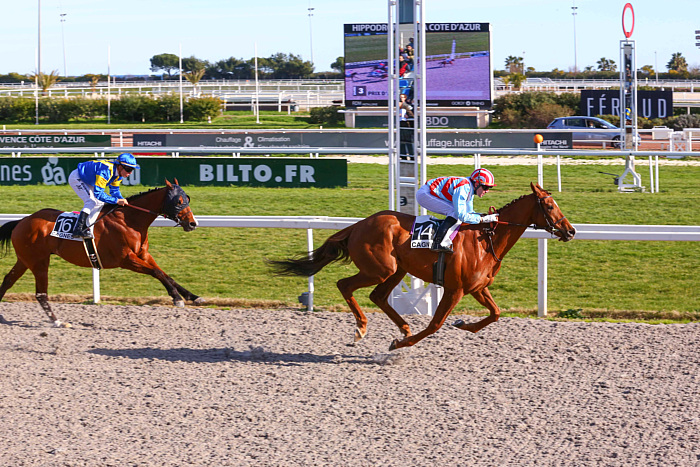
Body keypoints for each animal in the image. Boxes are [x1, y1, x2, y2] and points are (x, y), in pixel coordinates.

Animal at [0, 180, 202, 330]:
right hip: (39, 262)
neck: (129, 220)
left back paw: (2, 317)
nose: (193, 223)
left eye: (187, 199)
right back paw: (58, 322)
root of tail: (22, 221)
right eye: (178, 201)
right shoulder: (126, 260)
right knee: (41, 294)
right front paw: (176, 298)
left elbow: (166, 274)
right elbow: (157, 273)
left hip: (25, 260)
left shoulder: (143, 255)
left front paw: (192, 296)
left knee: (7, 280)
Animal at [270, 183, 576, 352]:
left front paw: (464, 324)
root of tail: (357, 225)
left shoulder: (478, 288)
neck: (486, 239)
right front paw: (398, 344)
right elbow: (434, 324)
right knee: (344, 285)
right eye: (550, 206)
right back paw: (362, 329)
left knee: (377, 296)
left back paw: (403, 328)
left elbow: (495, 314)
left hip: (397, 271)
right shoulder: (455, 289)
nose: (571, 231)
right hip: (380, 269)